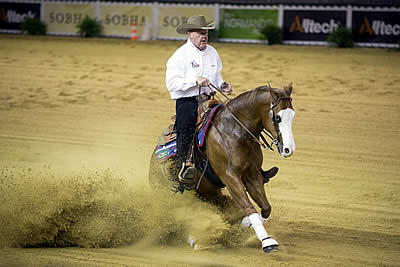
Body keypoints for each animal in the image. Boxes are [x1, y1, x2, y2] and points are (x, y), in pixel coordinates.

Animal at [148, 84, 296, 253]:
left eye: (292, 115)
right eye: (277, 118)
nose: (288, 149)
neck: (235, 131)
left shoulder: (252, 175)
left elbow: (265, 207)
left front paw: (246, 223)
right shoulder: (230, 176)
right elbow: (249, 207)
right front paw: (267, 241)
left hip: (209, 193)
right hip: (172, 196)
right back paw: (195, 238)